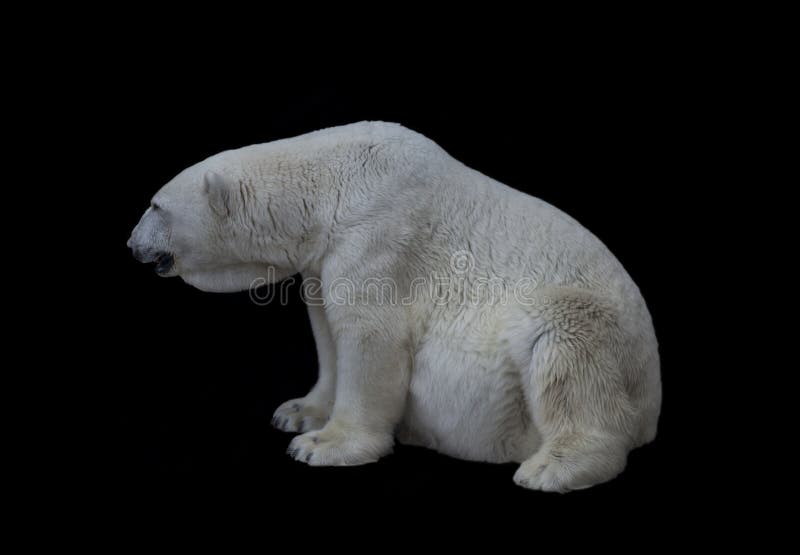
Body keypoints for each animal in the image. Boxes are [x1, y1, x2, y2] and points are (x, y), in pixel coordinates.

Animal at [128, 121, 661, 492]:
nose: (131, 244)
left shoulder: (380, 236)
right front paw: (299, 412)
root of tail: (653, 411)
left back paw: (552, 467)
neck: (329, 184)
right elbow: (327, 334)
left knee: (565, 342)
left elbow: (371, 338)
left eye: (155, 205)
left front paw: (322, 445)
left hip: (593, 330)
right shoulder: (325, 258)